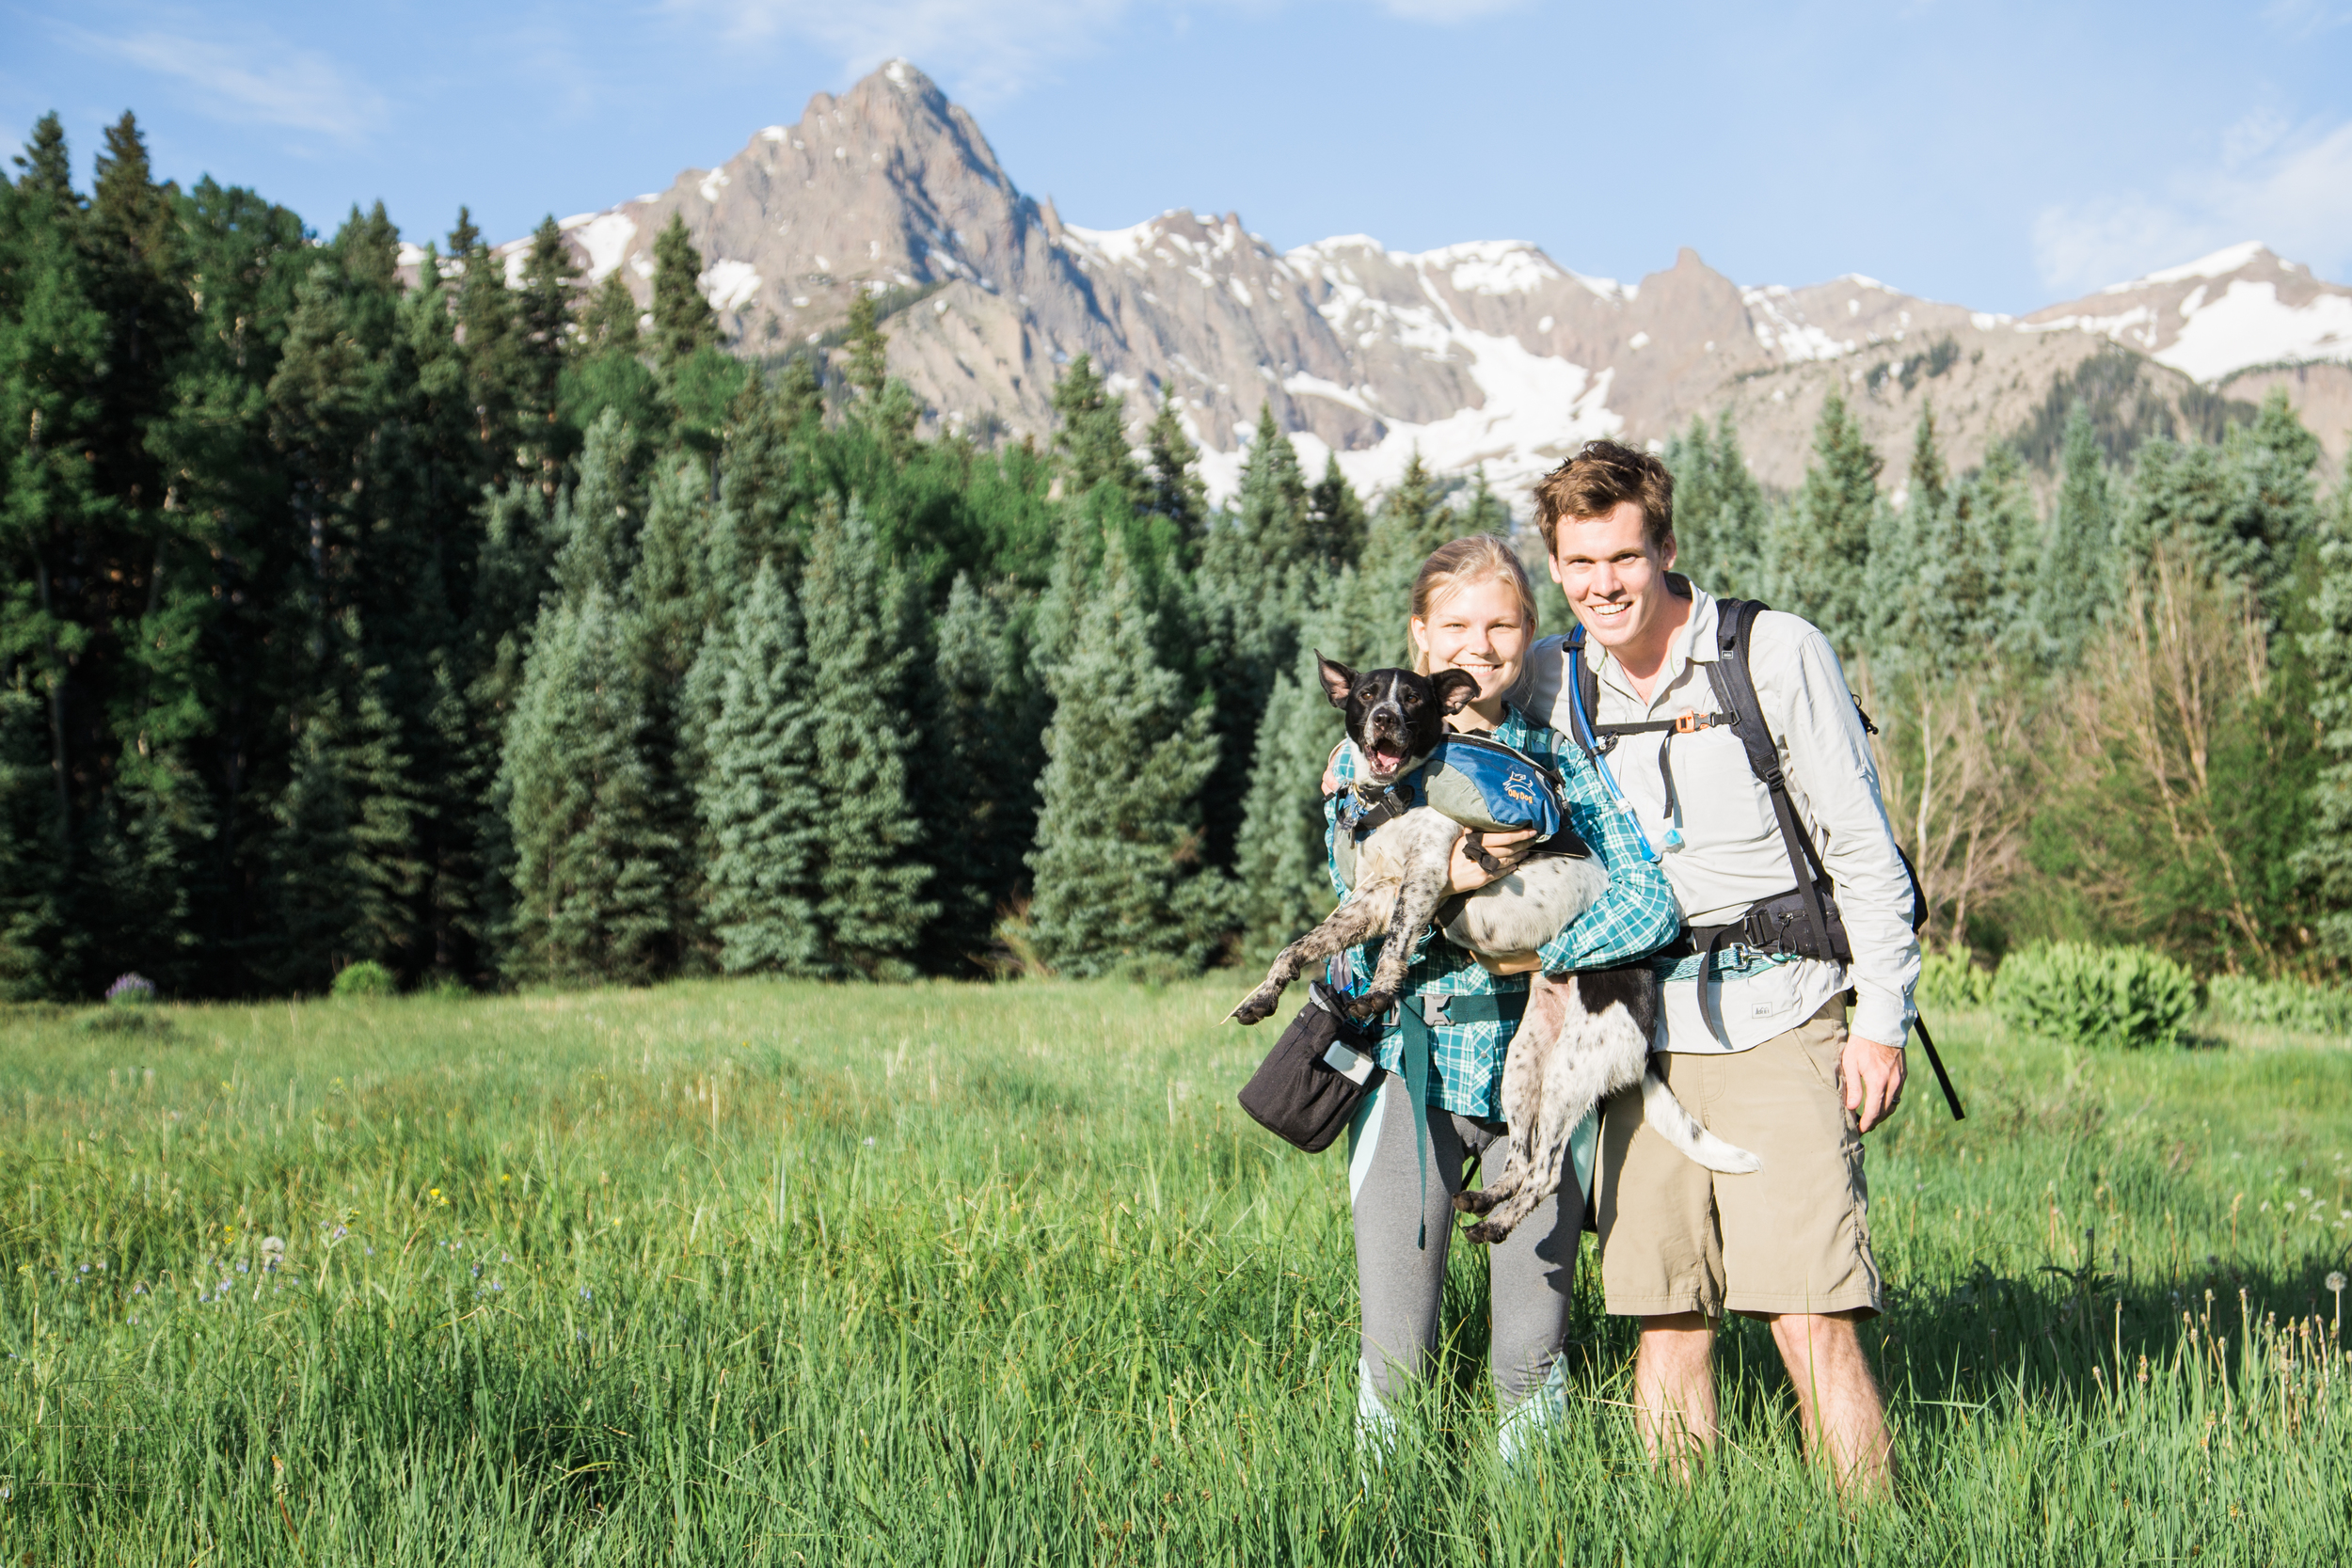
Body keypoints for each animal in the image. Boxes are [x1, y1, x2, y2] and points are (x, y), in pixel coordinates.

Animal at [1232, 657, 1769, 1241]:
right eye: (1367, 694)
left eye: (1413, 698)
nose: (1384, 719)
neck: (1397, 794)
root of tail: (1646, 1029)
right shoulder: (1374, 895)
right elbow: (1297, 947)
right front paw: (1261, 997)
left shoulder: (1424, 878)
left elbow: (1398, 940)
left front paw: (1377, 993)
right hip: (1523, 1064)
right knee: (1521, 1156)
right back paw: (1486, 1199)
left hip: (1569, 1073)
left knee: (1547, 1173)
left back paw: (1498, 1224)